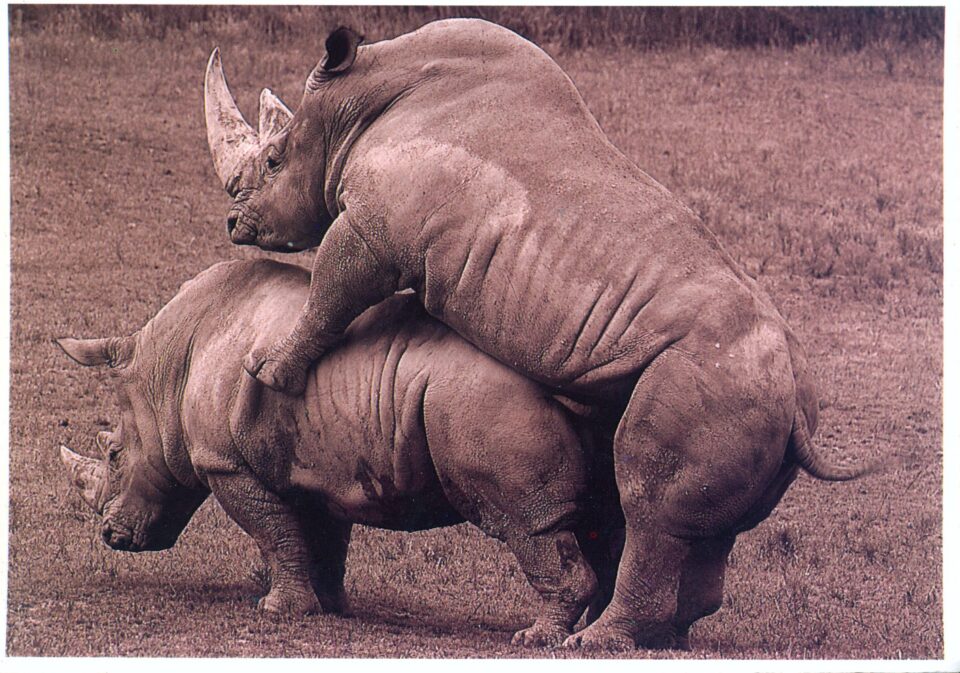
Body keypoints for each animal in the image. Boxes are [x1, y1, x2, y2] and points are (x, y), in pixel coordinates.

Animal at [57, 258, 623, 647]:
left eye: (113, 454)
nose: (110, 537)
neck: (167, 371)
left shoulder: (227, 464)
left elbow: (272, 533)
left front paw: (277, 611)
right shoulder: (319, 464)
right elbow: (319, 537)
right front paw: (327, 608)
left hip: (486, 405)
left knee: (524, 523)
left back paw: (537, 638)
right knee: (602, 518)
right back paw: (592, 634)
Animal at [204, 19, 873, 648]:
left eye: (273, 162)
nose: (234, 224)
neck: (359, 97)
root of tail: (796, 404)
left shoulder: (372, 230)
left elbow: (329, 293)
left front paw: (268, 371)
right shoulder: (385, 228)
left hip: (711, 378)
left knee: (647, 505)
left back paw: (594, 640)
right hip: (750, 393)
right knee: (706, 530)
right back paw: (662, 637)